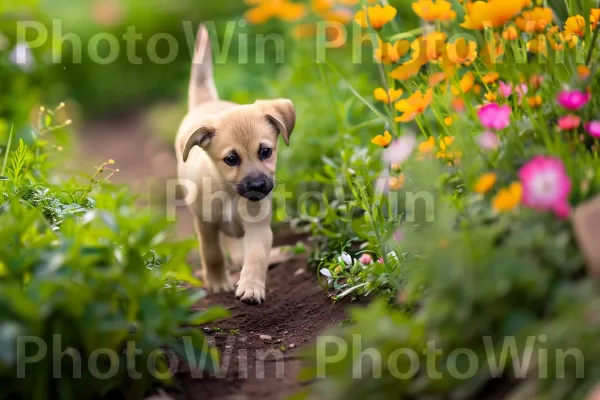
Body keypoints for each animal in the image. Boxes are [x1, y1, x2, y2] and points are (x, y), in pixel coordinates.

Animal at [173, 25, 296, 304]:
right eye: (231, 159)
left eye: (265, 151)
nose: (258, 186)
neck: (229, 194)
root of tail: (206, 103)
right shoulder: (205, 222)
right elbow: (212, 253)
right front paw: (218, 283)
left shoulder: (258, 226)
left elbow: (256, 256)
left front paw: (251, 286)